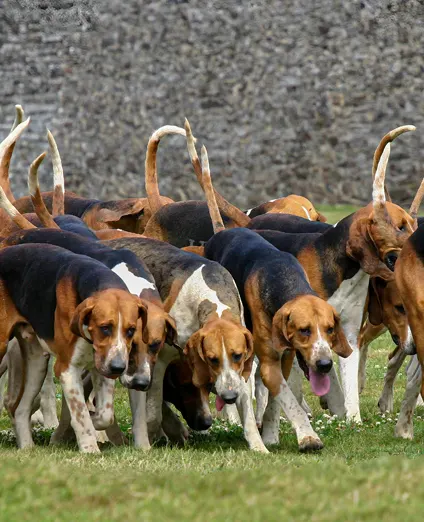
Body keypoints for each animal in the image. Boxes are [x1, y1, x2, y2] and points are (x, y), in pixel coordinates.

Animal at [0, 244, 147, 450]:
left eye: (131, 330)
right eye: (105, 328)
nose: (118, 368)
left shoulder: (102, 368)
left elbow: (105, 415)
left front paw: (93, 426)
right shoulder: (66, 370)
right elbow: (81, 415)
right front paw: (90, 449)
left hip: (37, 363)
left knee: (19, 409)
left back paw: (27, 448)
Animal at [104, 236, 266, 450]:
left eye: (237, 356)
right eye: (212, 360)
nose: (230, 397)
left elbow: (248, 414)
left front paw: (258, 446)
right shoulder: (160, 361)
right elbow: (153, 411)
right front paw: (154, 434)